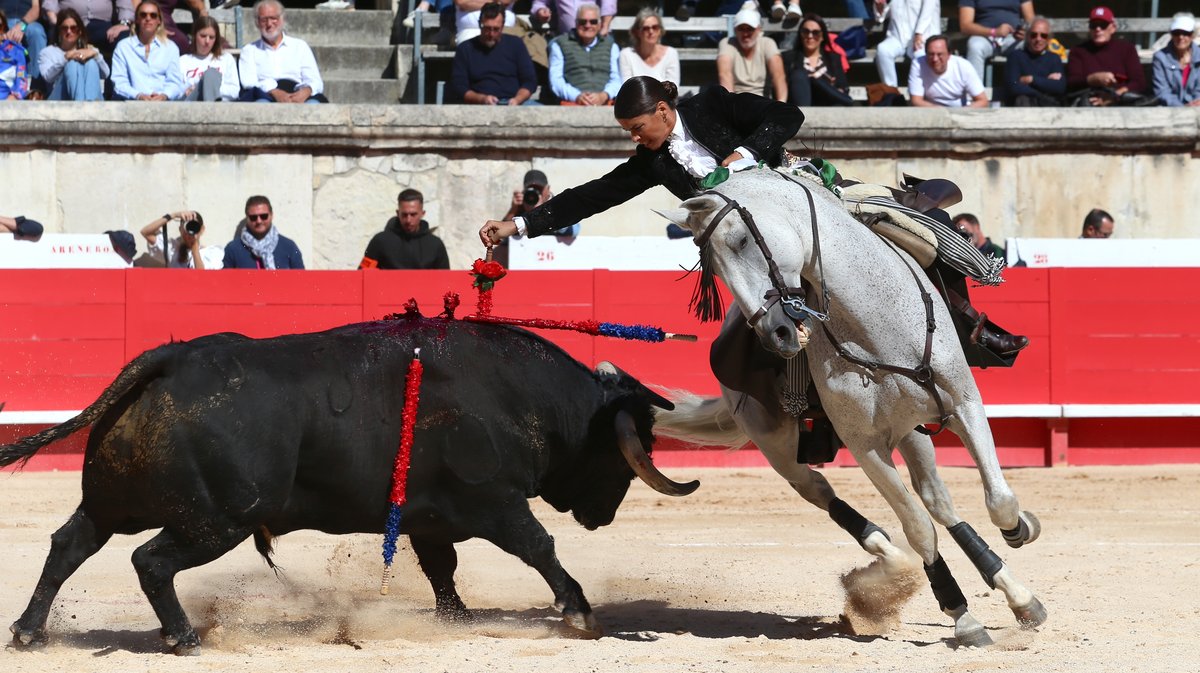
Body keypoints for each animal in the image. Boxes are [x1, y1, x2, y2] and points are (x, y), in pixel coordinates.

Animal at [0, 316, 700, 652]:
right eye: (624, 458)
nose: (601, 516)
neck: (518, 395)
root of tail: (171, 359)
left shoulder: (429, 517)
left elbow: (441, 570)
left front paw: (455, 620)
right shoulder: (494, 502)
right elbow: (539, 548)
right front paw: (579, 612)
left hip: (110, 503)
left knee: (69, 544)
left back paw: (31, 632)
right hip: (216, 520)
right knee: (151, 561)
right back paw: (185, 637)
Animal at [652, 167, 1046, 647]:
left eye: (743, 240)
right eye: (709, 263)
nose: (777, 334)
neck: (873, 319)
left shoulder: (964, 404)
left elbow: (999, 500)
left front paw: (1021, 530)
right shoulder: (865, 447)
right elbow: (919, 529)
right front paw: (962, 616)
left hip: (913, 432)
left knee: (939, 500)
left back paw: (1018, 595)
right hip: (775, 442)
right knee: (819, 488)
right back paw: (886, 559)